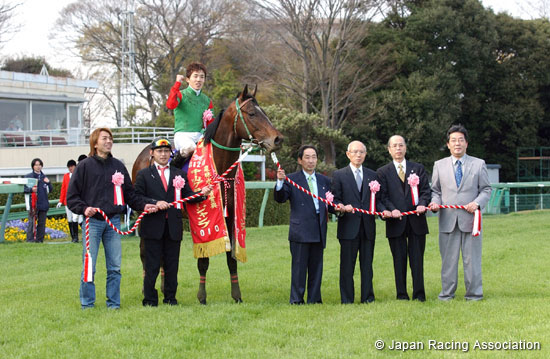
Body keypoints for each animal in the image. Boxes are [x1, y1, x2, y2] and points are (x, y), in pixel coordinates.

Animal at [132, 86, 282, 306]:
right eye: (252, 113)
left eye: (263, 111)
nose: (278, 139)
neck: (220, 169)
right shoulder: (202, 219)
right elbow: (203, 260)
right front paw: (202, 296)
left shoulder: (230, 217)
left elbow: (231, 259)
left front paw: (236, 294)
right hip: (144, 215)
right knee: (145, 251)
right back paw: (146, 289)